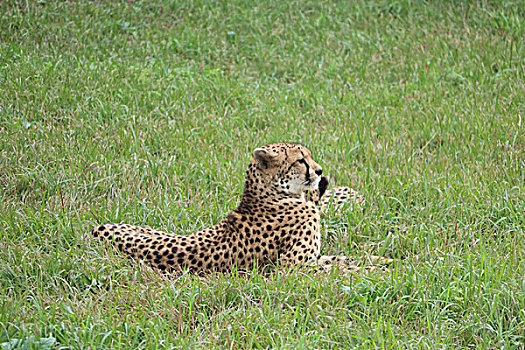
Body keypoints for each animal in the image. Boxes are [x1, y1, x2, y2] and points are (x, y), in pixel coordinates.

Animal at [90, 142, 384, 274]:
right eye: (301, 160)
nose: (320, 171)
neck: (274, 195)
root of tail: (94, 230)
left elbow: (345, 259)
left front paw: (385, 262)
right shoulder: (292, 268)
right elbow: (342, 268)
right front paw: (378, 272)